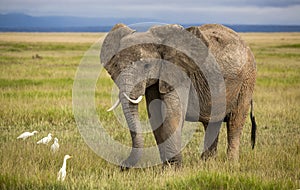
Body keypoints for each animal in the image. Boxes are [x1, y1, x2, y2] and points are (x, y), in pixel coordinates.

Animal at [99, 22, 256, 169]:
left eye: (146, 66)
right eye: (116, 66)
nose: (121, 166)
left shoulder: (179, 72)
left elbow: (172, 114)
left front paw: (174, 169)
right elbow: (156, 116)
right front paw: (165, 167)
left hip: (247, 80)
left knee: (235, 122)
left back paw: (231, 164)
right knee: (212, 123)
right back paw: (207, 163)